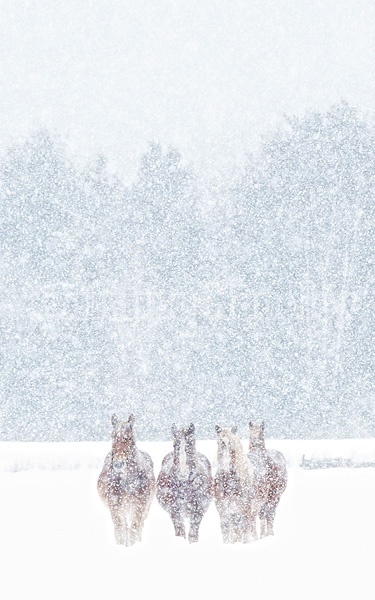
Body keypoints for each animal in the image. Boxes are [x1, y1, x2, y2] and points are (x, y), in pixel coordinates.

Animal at [98, 414, 156, 548]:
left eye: (129, 437)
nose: (118, 464)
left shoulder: (139, 507)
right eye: (113, 436)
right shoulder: (115, 508)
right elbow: (120, 532)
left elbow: (134, 530)